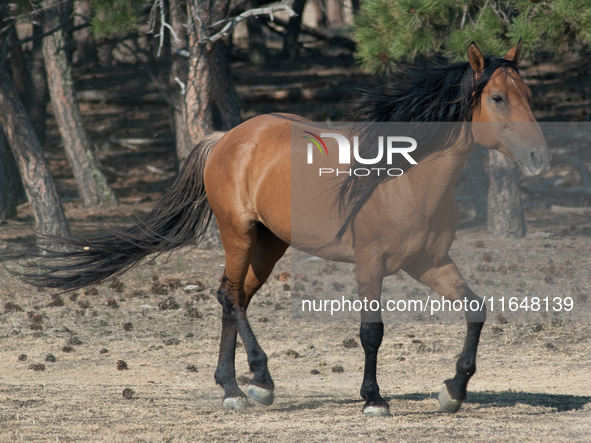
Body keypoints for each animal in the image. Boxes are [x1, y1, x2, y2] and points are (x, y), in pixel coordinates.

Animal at [16, 40, 552, 416]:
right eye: (497, 97)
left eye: (529, 94)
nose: (538, 157)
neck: (405, 180)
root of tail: (225, 138)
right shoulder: (370, 264)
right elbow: (372, 331)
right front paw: (373, 399)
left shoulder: (430, 263)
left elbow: (476, 311)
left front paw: (452, 391)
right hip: (238, 234)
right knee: (230, 296)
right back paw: (257, 382)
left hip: (269, 245)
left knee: (233, 298)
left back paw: (232, 387)